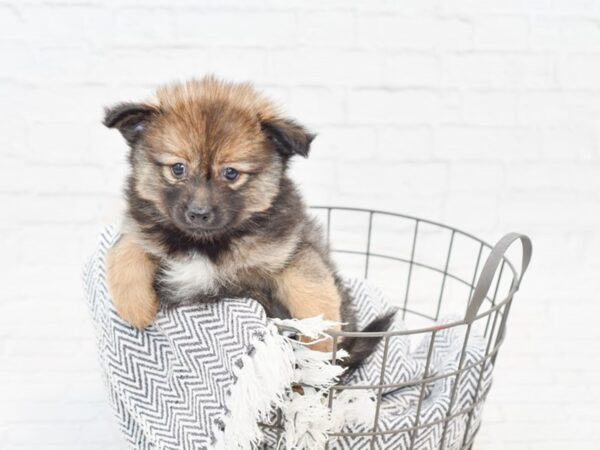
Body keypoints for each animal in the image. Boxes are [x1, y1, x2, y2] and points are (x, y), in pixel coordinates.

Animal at [105, 76, 392, 366]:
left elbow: (312, 290)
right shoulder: (141, 228)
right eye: (178, 169)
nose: (198, 213)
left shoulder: (291, 249)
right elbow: (123, 250)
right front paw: (136, 307)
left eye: (231, 173)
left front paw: (321, 346)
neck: (206, 245)